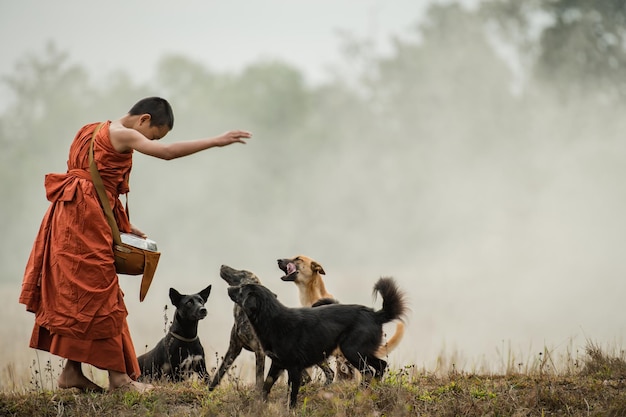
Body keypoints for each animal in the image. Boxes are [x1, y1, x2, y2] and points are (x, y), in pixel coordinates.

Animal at [223, 264, 404, 408]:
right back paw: (370, 391)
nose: (228, 289)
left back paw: (362, 392)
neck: (272, 318)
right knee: (379, 366)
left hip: (352, 350)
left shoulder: (294, 369)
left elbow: (292, 394)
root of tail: (376, 314)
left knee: (371, 370)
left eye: (242, 289)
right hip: (359, 352)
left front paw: (290, 410)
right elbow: (265, 387)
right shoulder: (277, 364)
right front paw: (259, 405)